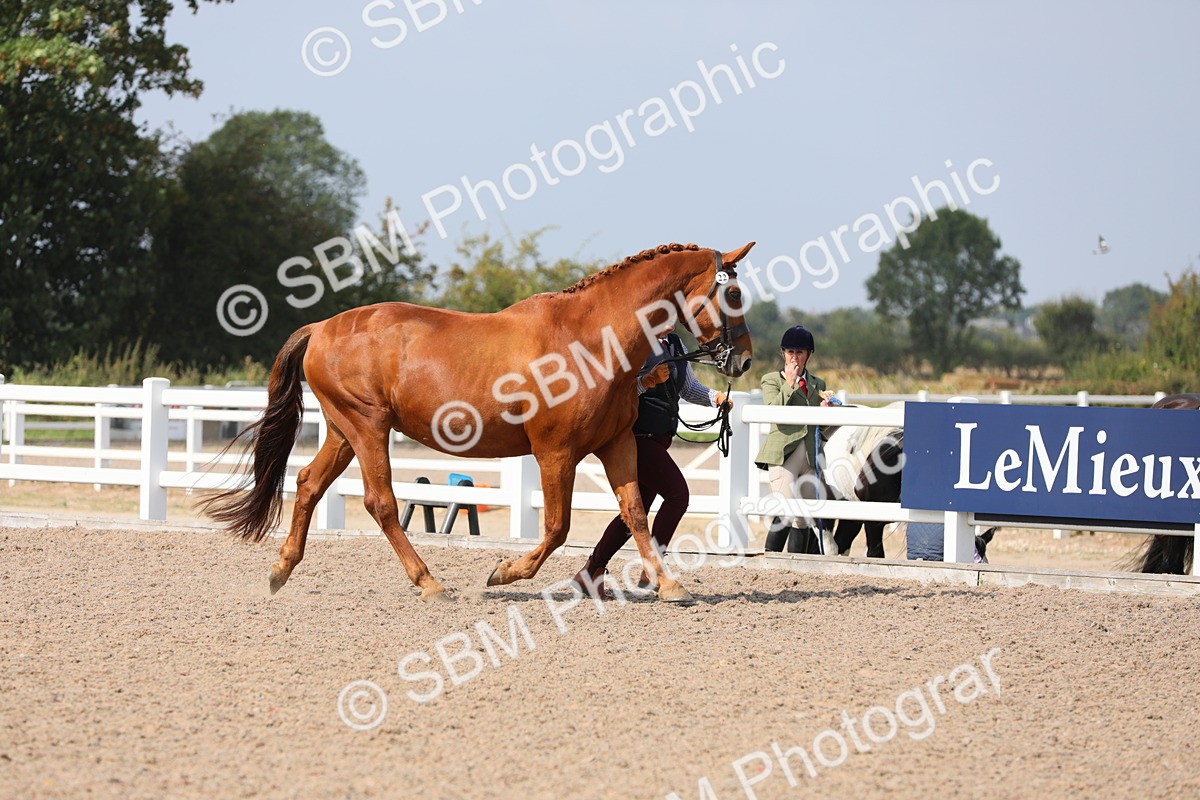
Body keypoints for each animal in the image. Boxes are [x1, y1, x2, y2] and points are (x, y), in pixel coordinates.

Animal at [201, 242, 755, 603]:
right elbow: (557, 527)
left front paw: (670, 585)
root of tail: (320, 327)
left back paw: (280, 571)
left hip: (342, 431)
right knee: (381, 503)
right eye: (732, 296)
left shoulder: (618, 444)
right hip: (368, 427)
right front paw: (504, 572)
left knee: (309, 484)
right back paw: (430, 583)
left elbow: (635, 513)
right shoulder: (555, 452)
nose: (744, 361)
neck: (592, 340)